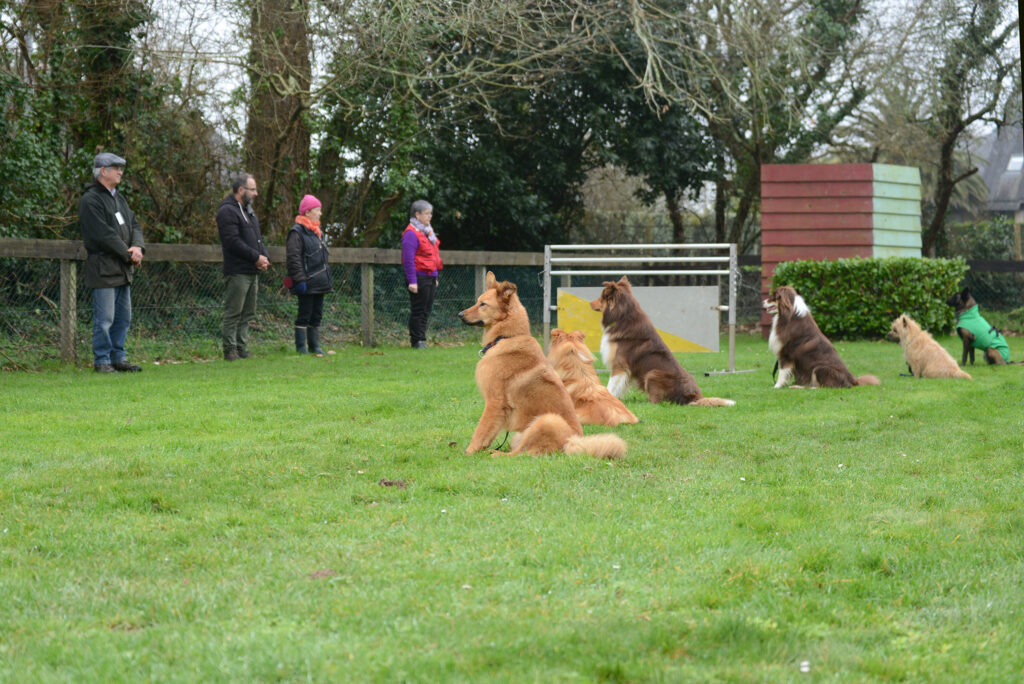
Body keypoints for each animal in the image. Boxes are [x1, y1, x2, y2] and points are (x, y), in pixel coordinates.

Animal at [457, 272, 626, 459]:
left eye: (483, 304)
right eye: (477, 301)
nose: (460, 314)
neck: (507, 337)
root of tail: (573, 443)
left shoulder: (495, 403)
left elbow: (481, 431)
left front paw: (469, 452)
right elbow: (488, 434)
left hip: (547, 420)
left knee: (521, 454)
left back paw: (496, 454)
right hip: (522, 433)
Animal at [589, 276, 734, 406]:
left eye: (602, 297)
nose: (589, 303)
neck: (622, 316)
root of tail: (694, 398)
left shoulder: (619, 365)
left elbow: (611, 386)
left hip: (653, 373)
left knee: (657, 403)